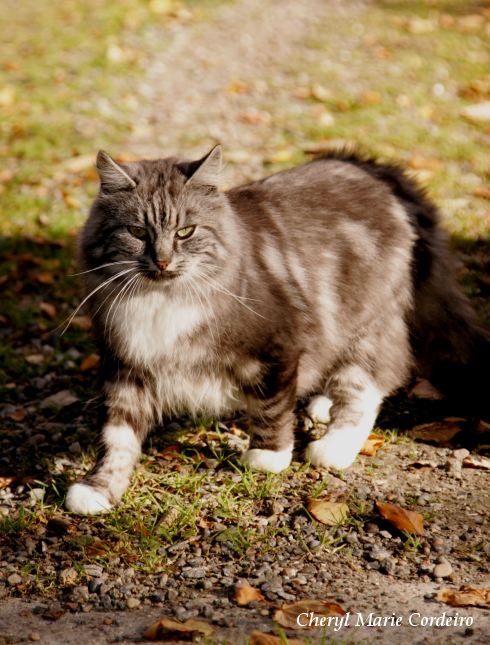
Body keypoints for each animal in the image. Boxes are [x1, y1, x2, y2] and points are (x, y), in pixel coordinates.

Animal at [64, 145, 486, 512]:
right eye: (137, 232)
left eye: (186, 231)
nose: (163, 261)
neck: (161, 300)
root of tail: (381, 170)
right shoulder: (126, 366)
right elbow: (116, 439)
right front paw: (98, 489)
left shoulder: (278, 345)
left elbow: (271, 406)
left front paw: (267, 456)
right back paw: (322, 405)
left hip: (368, 322)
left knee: (368, 386)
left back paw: (332, 446)